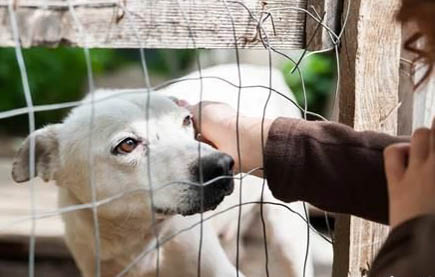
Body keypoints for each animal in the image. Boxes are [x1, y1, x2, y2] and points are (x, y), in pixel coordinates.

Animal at [11, 64, 314, 276]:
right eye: (127, 144)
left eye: (187, 120)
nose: (221, 165)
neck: (133, 239)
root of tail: (262, 69)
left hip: (287, 234)